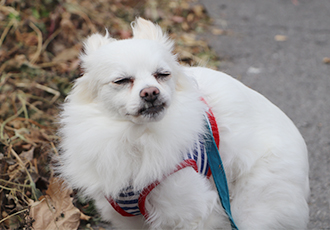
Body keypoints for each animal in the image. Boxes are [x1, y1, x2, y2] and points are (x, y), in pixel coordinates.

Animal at [58, 17, 310, 229]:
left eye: (162, 74)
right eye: (121, 81)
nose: (150, 92)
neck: (135, 136)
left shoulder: (189, 211)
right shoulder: (128, 219)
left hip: (253, 207)